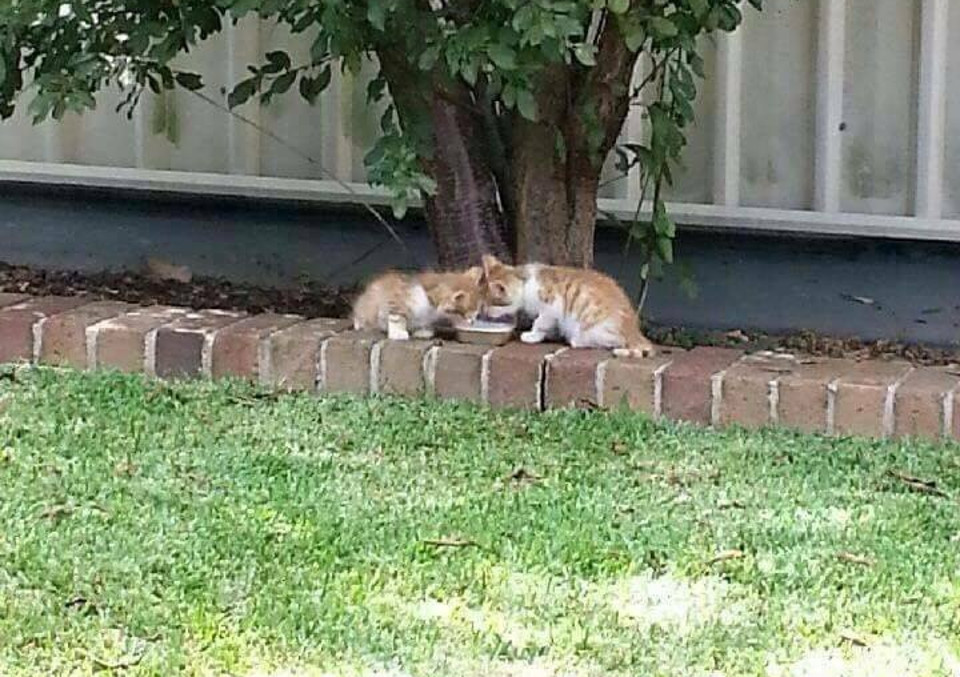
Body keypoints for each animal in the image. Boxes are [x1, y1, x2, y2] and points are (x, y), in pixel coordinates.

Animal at [352, 264, 484, 338]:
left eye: (476, 313)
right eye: (468, 315)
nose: (473, 322)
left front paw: (422, 331)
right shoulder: (395, 301)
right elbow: (397, 318)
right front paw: (398, 333)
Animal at [478, 255, 652, 360]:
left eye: (490, 304)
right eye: (483, 302)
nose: (484, 313)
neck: (526, 283)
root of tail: (634, 331)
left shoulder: (553, 306)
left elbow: (540, 322)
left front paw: (532, 334)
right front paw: (541, 336)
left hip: (593, 323)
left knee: (612, 341)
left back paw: (577, 340)